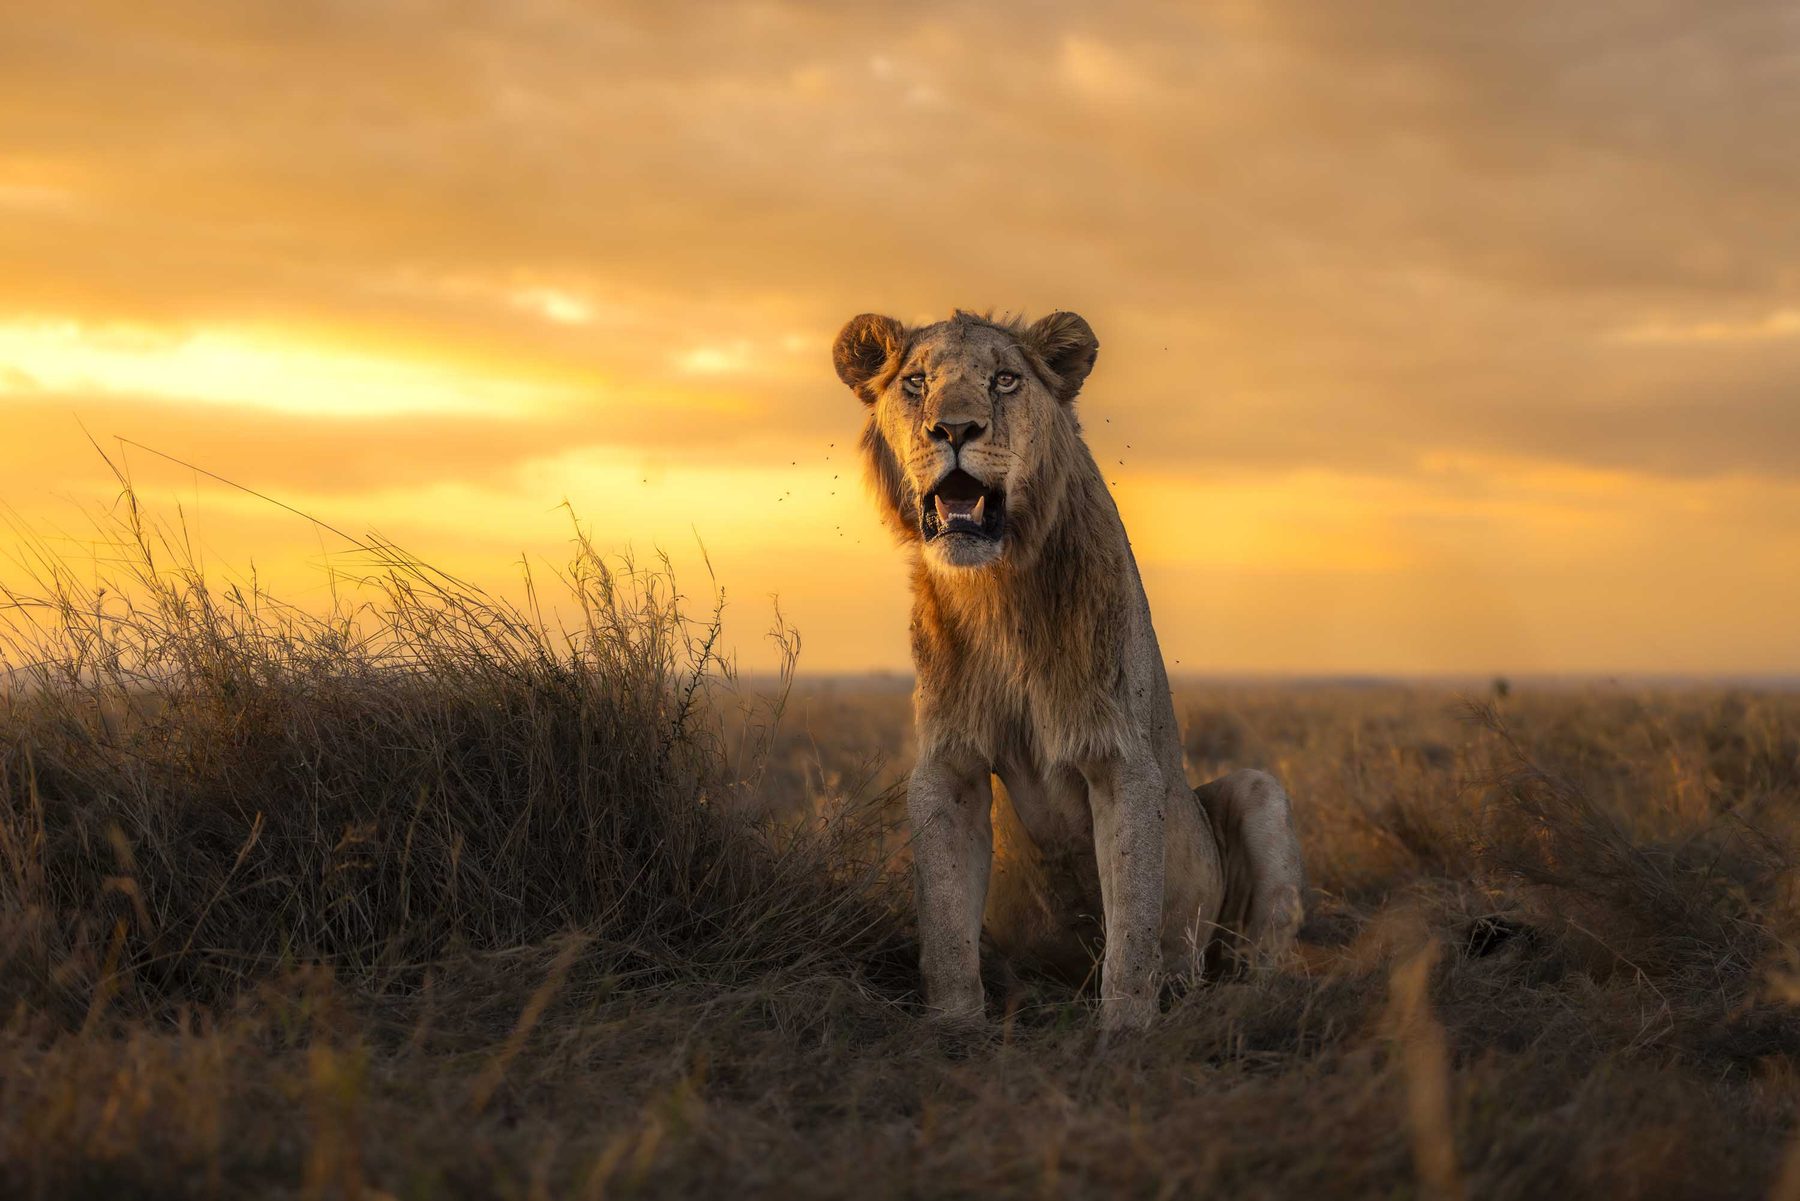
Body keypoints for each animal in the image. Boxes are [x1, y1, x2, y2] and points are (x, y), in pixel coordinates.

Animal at [832, 308, 1305, 1032]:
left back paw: (1225, 1006)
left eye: (1004, 380)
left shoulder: (1122, 761)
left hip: (1258, 794)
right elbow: (944, 922)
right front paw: (954, 1026)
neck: (997, 588)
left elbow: (1132, 925)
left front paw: (1127, 1031)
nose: (954, 430)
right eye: (915, 382)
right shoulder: (947, 765)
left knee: (1256, 961)